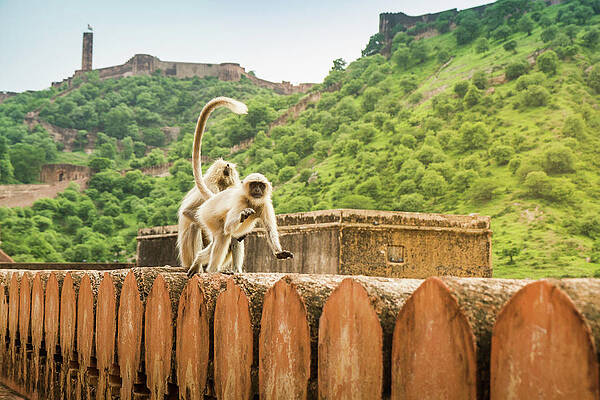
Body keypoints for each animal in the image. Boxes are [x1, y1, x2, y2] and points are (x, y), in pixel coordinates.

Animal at [177, 95, 247, 274]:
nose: (239, 180)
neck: (220, 184)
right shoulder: (212, 187)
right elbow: (189, 212)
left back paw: (234, 269)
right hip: (187, 255)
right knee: (196, 227)